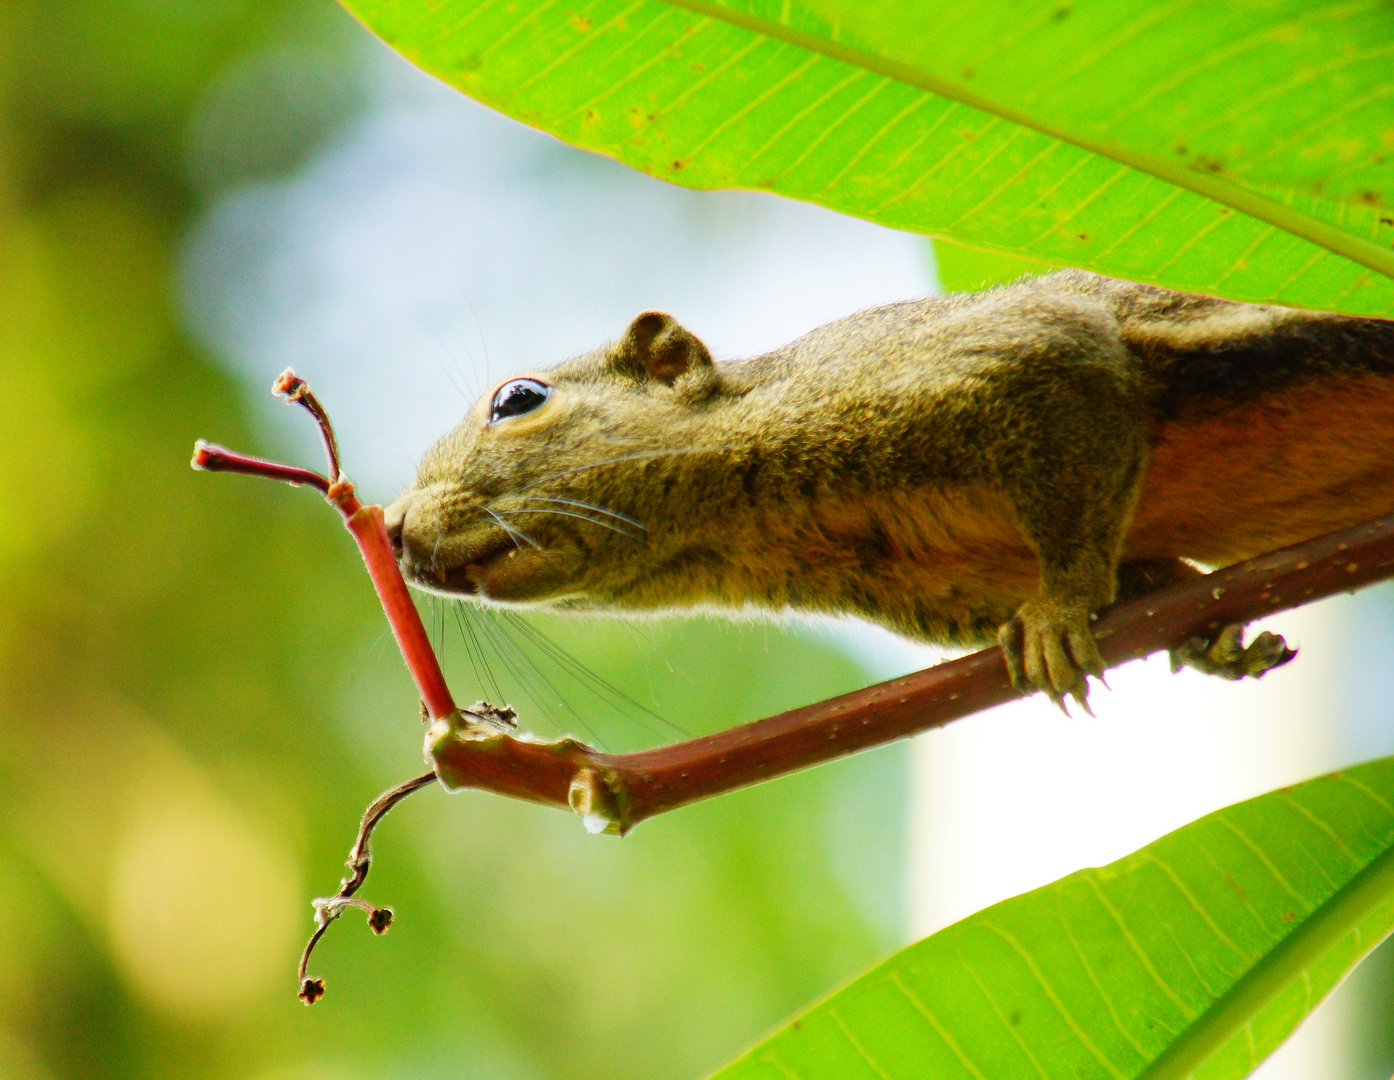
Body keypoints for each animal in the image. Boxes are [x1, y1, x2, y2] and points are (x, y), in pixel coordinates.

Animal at [381, 270, 1394, 710]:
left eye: (520, 399)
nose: (389, 526)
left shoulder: (1000, 364)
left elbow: (1070, 413)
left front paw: (1060, 615)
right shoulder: (947, 588)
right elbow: (1146, 578)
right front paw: (1209, 635)